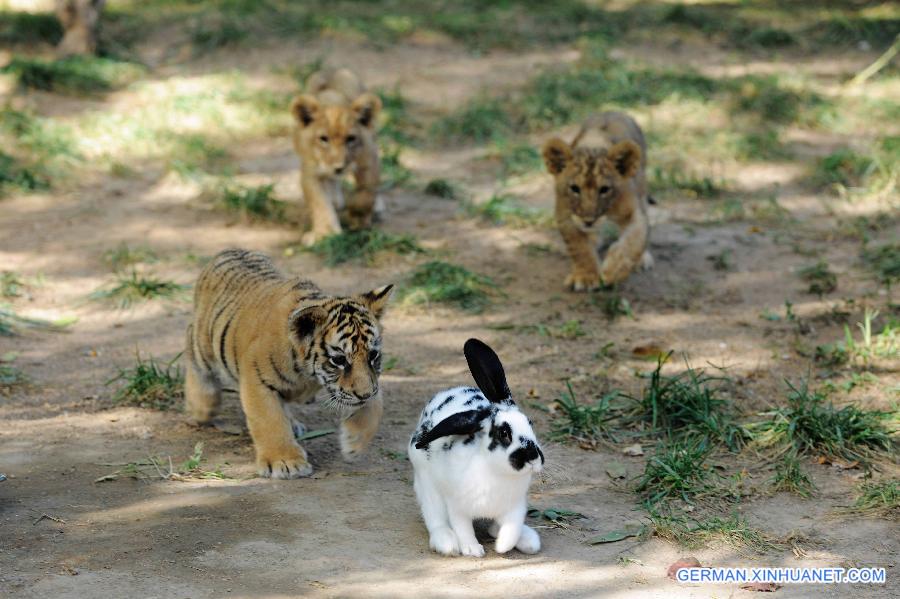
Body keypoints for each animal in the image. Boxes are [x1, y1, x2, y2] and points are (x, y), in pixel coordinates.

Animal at [406, 338, 540, 556]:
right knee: (435, 517)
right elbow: (463, 528)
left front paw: (503, 545)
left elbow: (511, 528)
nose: (533, 458)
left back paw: (528, 539)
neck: (498, 473)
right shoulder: (457, 506)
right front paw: (472, 549)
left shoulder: (516, 507)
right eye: (504, 433)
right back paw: (446, 543)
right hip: (427, 486)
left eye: (530, 423)